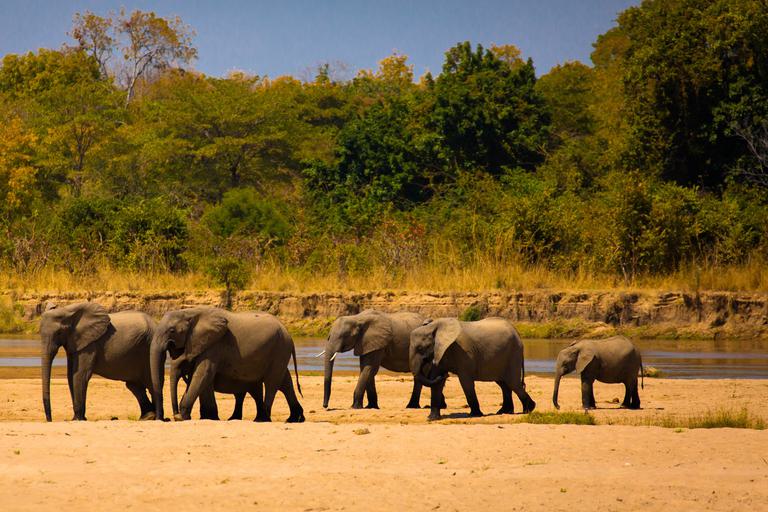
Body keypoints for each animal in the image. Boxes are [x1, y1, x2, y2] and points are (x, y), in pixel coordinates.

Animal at [150, 307, 304, 422]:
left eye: (172, 330)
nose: (168, 418)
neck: (190, 312)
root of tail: (288, 333)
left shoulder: (214, 345)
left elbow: (203, 374)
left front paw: (183, 417)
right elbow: (202, 379)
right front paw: (208, 417)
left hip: (280, 349)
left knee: (272, 382)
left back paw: (263, 419)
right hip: (279, 351)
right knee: (285, 382)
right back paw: (295, 419)